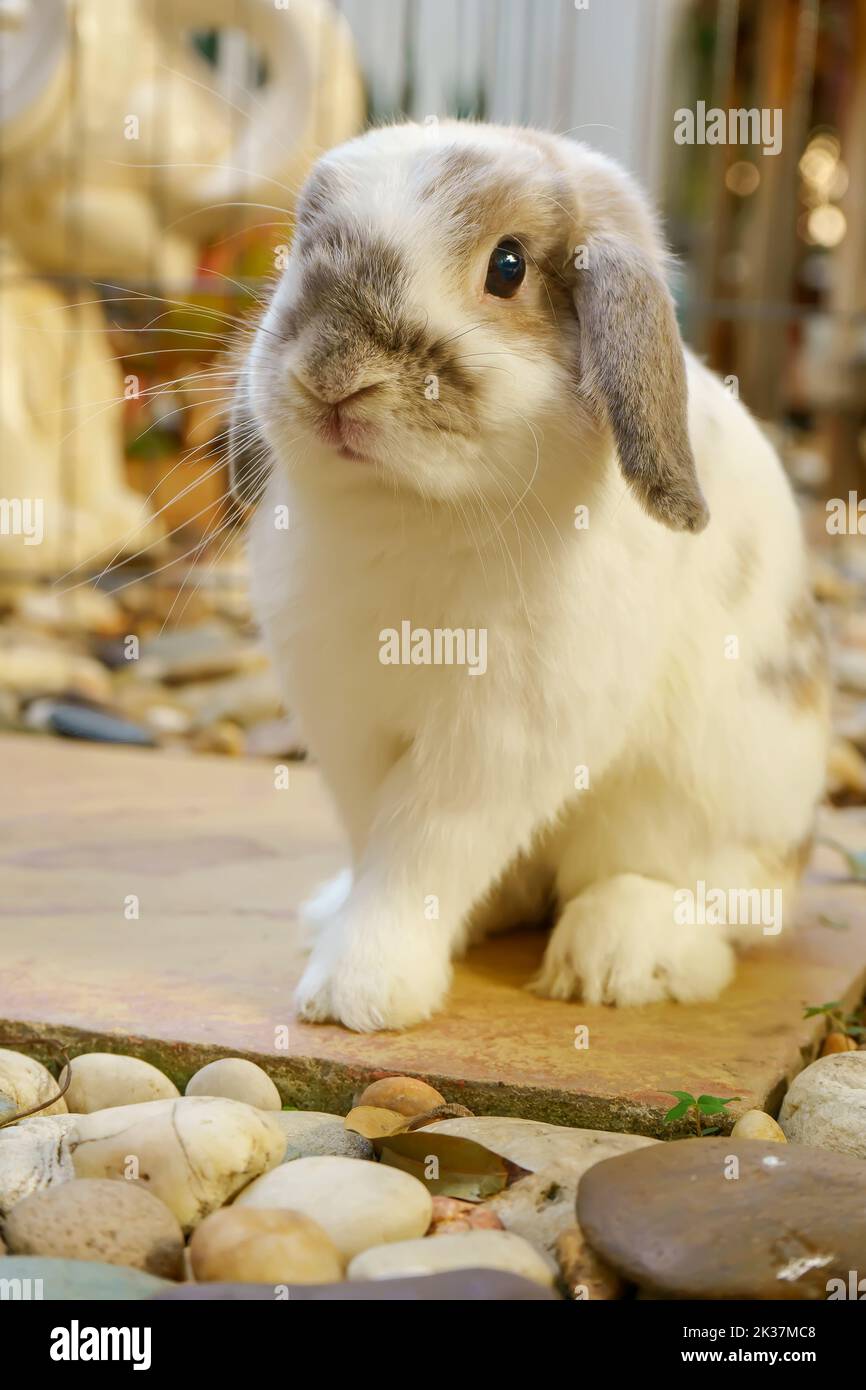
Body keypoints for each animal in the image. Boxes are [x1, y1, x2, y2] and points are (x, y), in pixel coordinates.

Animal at [229, 120, 829, 1032]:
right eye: (300, 250)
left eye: (507, 266)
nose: (332, 376)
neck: (413, 509)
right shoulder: (347, 722)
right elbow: (378, 836)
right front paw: (348, 937)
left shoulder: (499, 734)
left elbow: (422, 849)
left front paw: (358, 992)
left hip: (707, 805)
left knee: (711, 898)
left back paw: (619, 956)